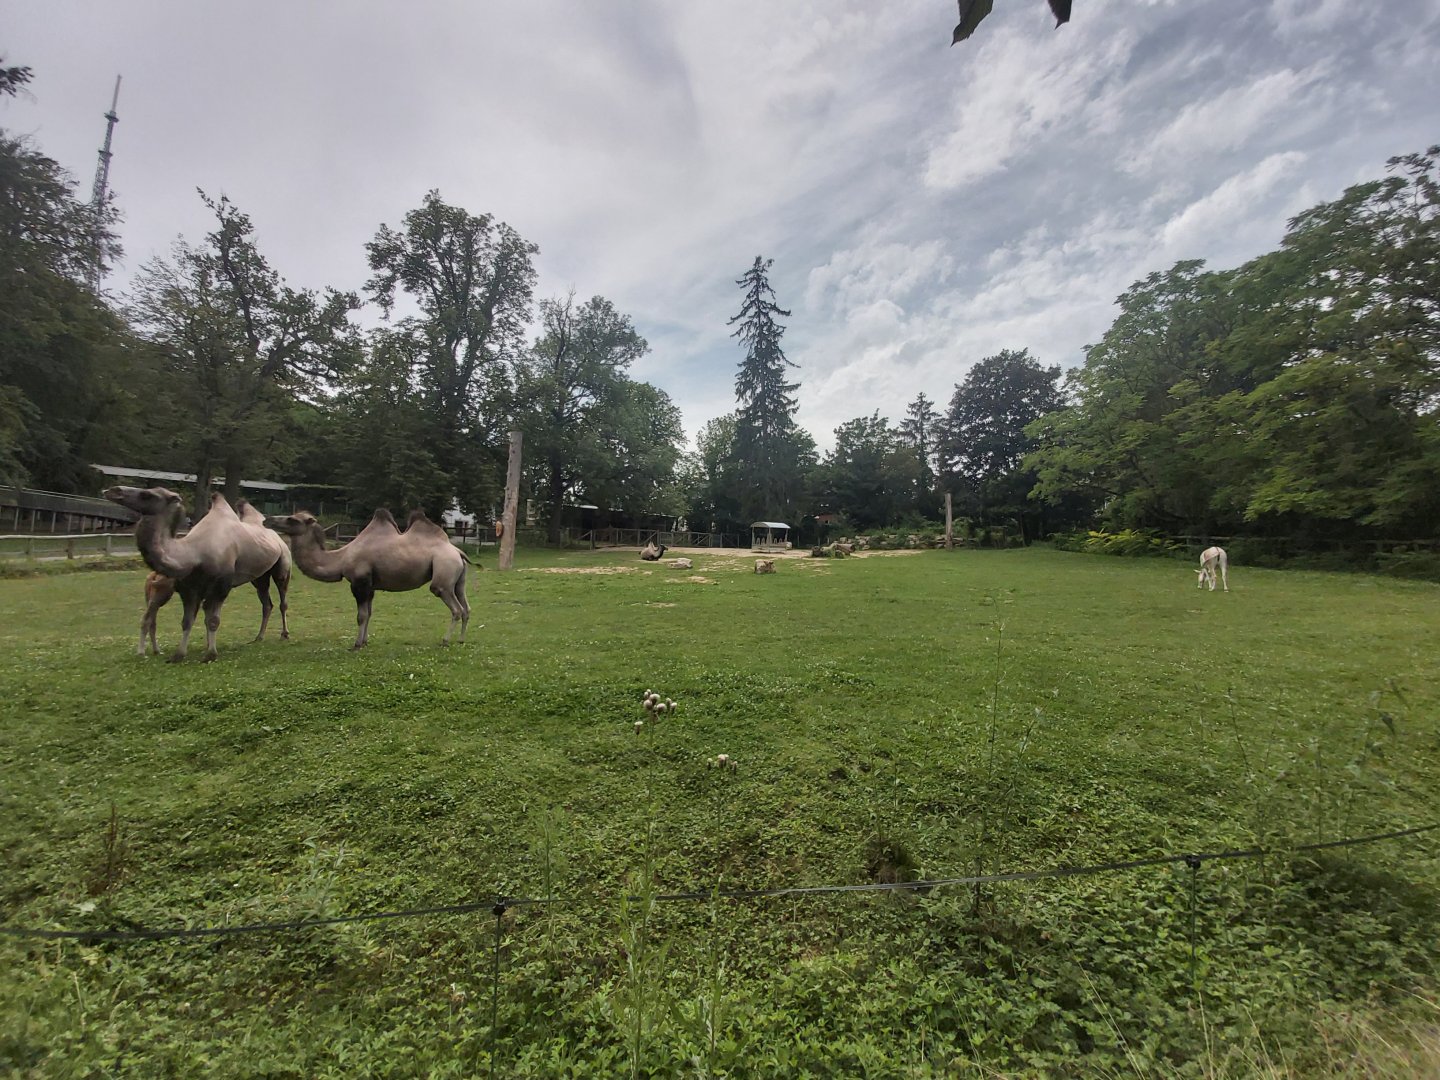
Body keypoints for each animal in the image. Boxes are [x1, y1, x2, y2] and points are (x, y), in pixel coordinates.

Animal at [103, 486, 292, 662]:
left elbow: (213, 620)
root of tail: (277, 537)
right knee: (266, 603)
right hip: (260, 577)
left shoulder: (221, 585)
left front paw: (210, 654)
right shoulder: (189, 588)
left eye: (146, 495)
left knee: (282, 599)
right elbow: (188, 621)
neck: (194, 553)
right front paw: (180, 655)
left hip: (283, 566)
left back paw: (284, 634)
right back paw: (258, 637)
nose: (112, 490)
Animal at [264, 507, 470, 649]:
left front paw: (356, 644)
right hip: (458, 580)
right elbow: (369, 614)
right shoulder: (370, 586)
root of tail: (458, 552)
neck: (340, 558)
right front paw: (364, 642)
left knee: (455, 608)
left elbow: (361, 616)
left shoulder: (359, 582)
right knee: (466, 608)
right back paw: (461, 640)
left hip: (443, 574)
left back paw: (445, 640)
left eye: (291, 519)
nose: (267, 520)